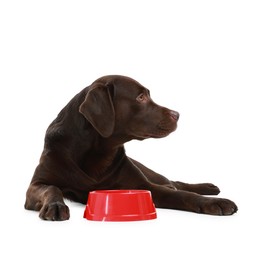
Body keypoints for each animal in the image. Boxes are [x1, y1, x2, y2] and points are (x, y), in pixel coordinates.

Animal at [24, 75, 238, 221]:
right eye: (141, 97)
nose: (177, 114)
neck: (99, 151)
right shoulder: (37, 184)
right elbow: (51, 188)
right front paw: (55, 205)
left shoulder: (145, 186)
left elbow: (182, 195)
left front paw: (214, 202)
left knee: (174, 183)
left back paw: (208, 188)